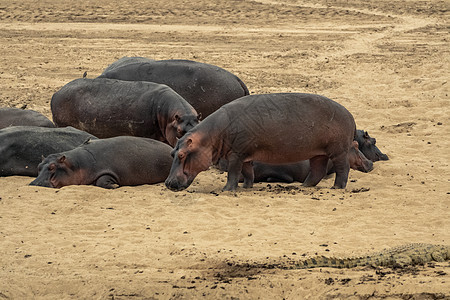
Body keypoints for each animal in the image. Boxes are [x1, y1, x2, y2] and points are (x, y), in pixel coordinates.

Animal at [29, 137, 173, 190]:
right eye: (38, 166)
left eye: (52, 166)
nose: (34, 183)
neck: (76, 164)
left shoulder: (107, 170)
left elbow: (102, 181)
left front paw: (115, 185)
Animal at [165, 92, 366, 191]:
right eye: (172, 153)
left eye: (181, 154)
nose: (167, 183)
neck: (211, 135)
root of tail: (351, 115)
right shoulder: (245, 155)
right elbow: (247, 172)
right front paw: (246, 187)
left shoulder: (236, 154)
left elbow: (233, 172)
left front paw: (227, 189)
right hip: (318, 153)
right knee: (317, 171)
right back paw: (304, 186)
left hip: (338, 150)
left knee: (342, 169)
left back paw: (336, 187)